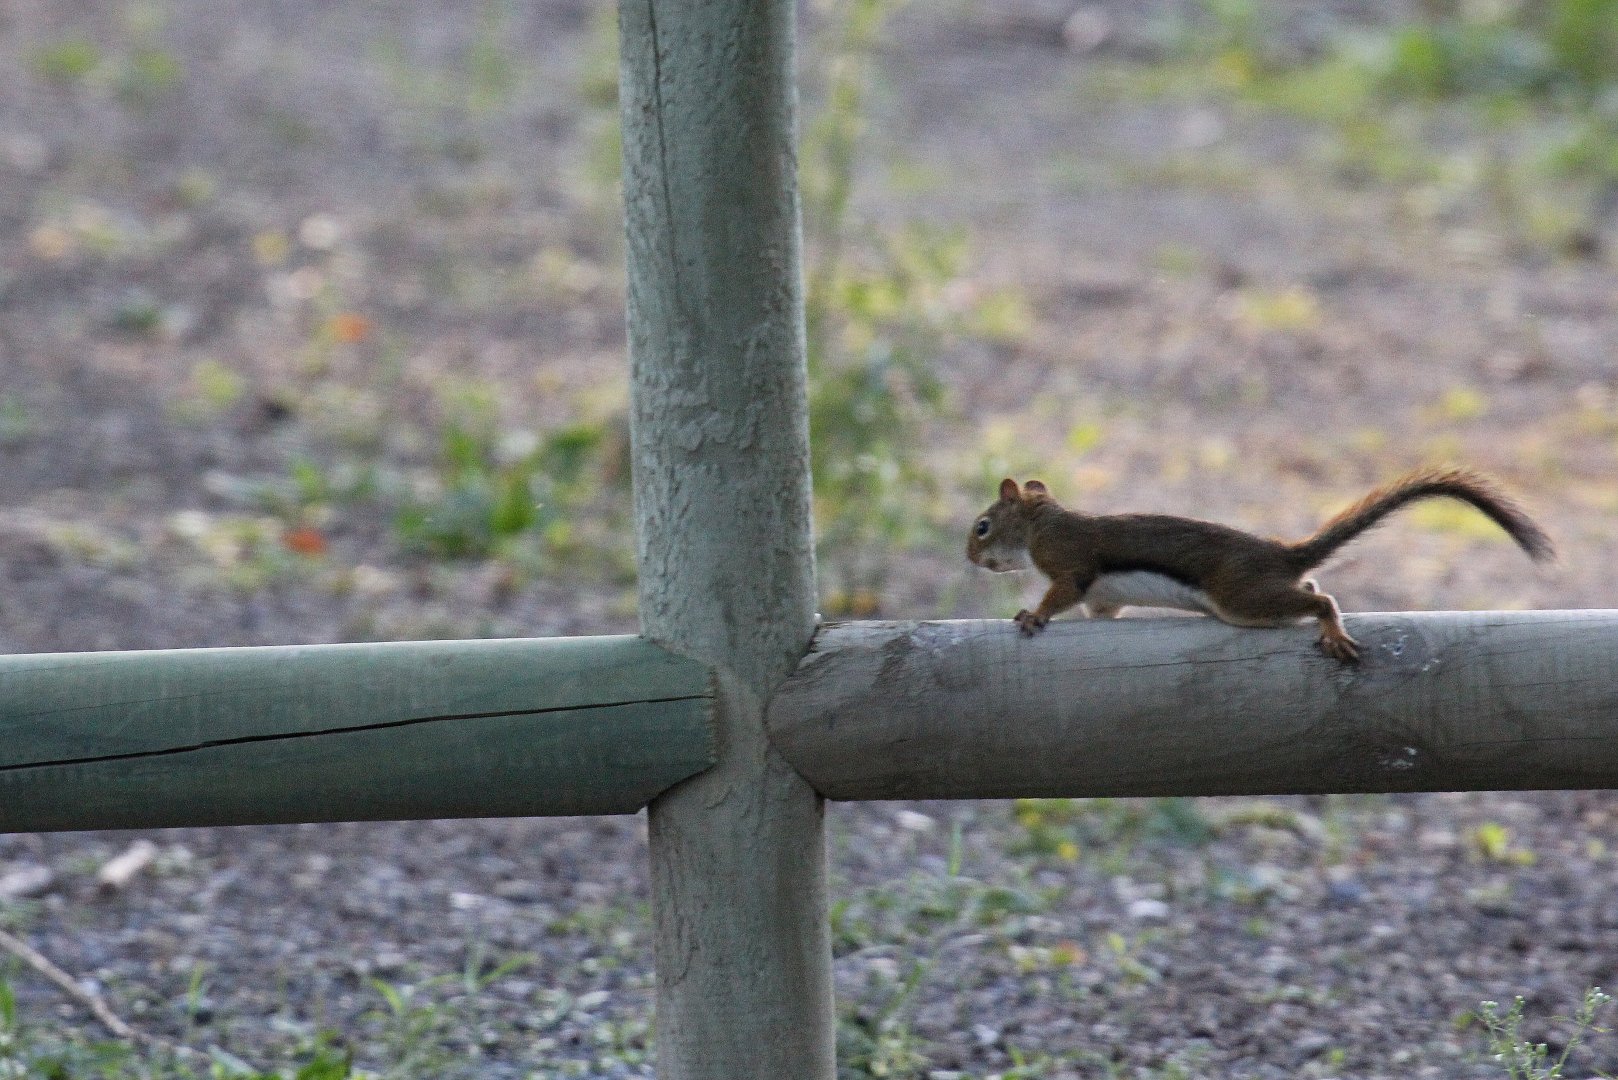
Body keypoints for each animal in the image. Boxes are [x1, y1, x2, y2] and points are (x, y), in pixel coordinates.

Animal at [966, 466, 1554, 662]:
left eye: (982, 526)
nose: (969, 557)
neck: (1041, 524)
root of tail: (1279, 552)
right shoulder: (1101, 595)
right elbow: (1099, 610)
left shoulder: (1067, 561)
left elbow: (1060, 593)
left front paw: (1033, 616)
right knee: (1311, 586)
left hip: (1243, 597)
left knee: (1320, 598)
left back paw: (1332, 627)